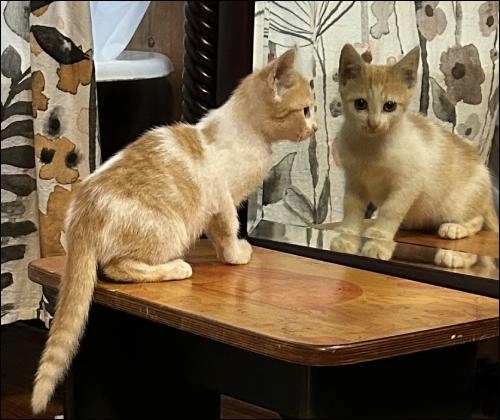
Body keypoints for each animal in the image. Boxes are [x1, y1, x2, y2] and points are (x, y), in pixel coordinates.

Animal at [31, 46, 316, 414]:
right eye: (306, 109)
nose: (316, 126)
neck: (248, 132)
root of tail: (82, 214)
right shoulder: (222, 199)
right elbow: (229, 228)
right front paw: (237, 253)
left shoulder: (212, 208)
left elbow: (219, 233)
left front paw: (228, 252)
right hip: (169, 230)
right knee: (117, 268)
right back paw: (176, 267)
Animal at [330, 43, 498, 266]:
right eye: (360, 104)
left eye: (389, 106)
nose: (373, 123)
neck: (372, 147)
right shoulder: (354, 180)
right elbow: (351, 208)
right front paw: (347, 237)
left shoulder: (410, 182)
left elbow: (392, 209)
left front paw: (379, 240)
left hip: (460, 202)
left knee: (477, 220)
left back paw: (455, 233)